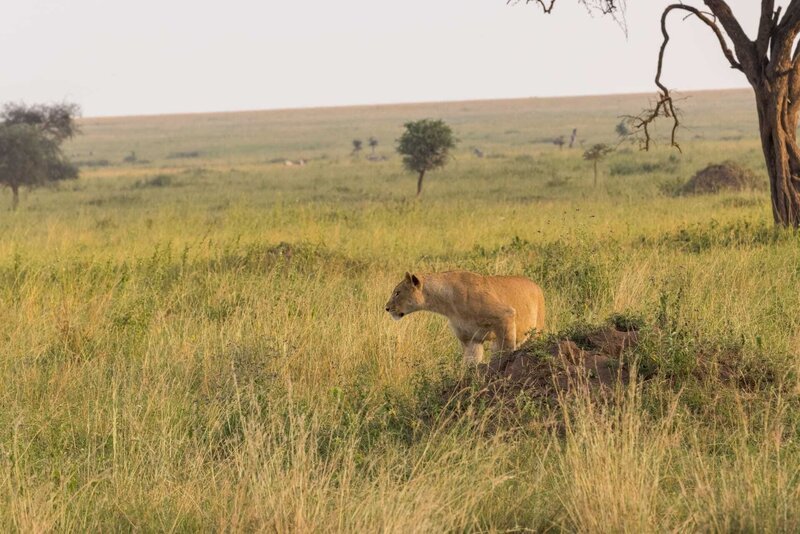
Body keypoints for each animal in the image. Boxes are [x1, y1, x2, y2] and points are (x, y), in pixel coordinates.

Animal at [385, 271, 545, 364]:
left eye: (397, 293)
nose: (386, 308)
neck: (448, 305)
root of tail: (536, 285)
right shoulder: (470, 339)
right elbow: (470, 363)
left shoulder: (505, 315)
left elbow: (506, 350)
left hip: (536, 330)